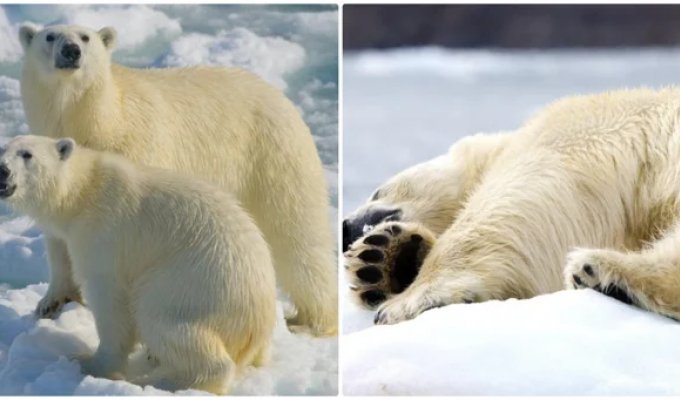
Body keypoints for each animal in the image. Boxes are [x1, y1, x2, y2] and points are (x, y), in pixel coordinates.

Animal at [0, 135, 277, 394]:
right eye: (3, 148)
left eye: (27, 154)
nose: (2, 170)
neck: (83, 191)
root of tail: (257, 324)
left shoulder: (105, 234)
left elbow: (110, 300)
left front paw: (90, 364)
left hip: (194, 285)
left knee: (162, 318)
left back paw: (163, 381)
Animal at [18, 23, 337, 336]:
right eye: (50, 36)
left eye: (85, 37)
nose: (72, 51)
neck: (102, 121)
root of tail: (279, 96)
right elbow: (58, 237)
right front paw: (50, 303)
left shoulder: (137, 154)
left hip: (271, 158)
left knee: (295, 234)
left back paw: (312, 320)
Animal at [343, 87, 680, 324]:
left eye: (376, 191)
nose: (346, 228)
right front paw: (383, 259)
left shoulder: (581, 128)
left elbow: (520, 193)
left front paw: (407, 301)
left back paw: (604, 272)